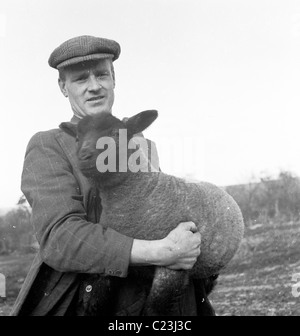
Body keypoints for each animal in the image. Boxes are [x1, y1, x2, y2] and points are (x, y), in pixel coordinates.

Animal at [59, 110, 245, 316]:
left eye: (116, 134)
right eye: (77, 138)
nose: (84, 156)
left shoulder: (174, 265)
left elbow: (154, 309)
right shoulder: (111, 256)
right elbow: (96, 298)